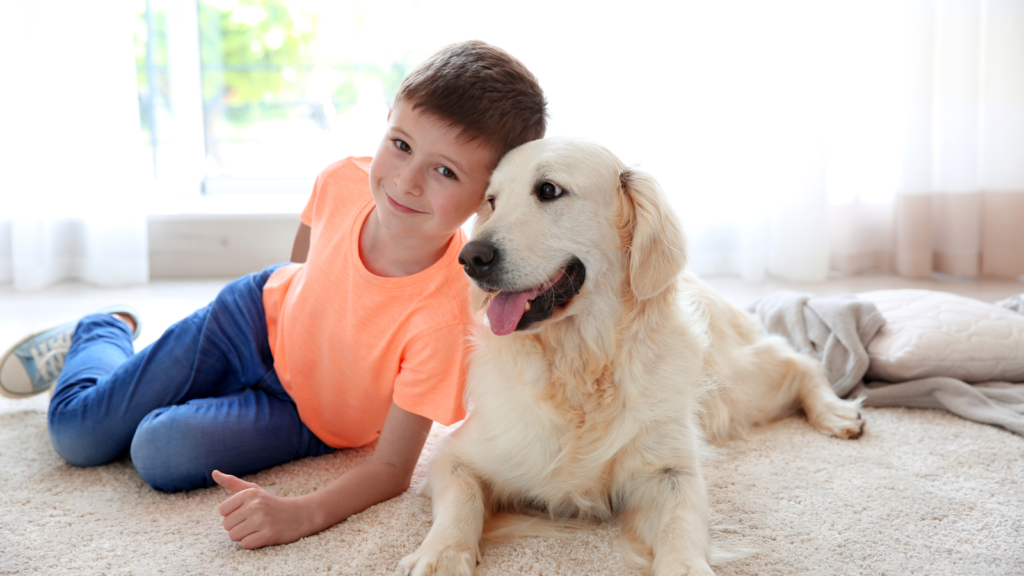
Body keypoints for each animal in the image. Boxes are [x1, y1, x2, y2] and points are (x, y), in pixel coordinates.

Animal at [395, 138, 860, 573]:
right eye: (491, 201)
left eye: (548, 190)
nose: (471, 258)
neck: (581, 362)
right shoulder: (456, 455)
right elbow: (464, 497)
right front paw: (440, 554)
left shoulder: (670, 470)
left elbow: (681, 523)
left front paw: (685, 566)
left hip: (739, 385)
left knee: (797, 360)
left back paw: (835, 411)